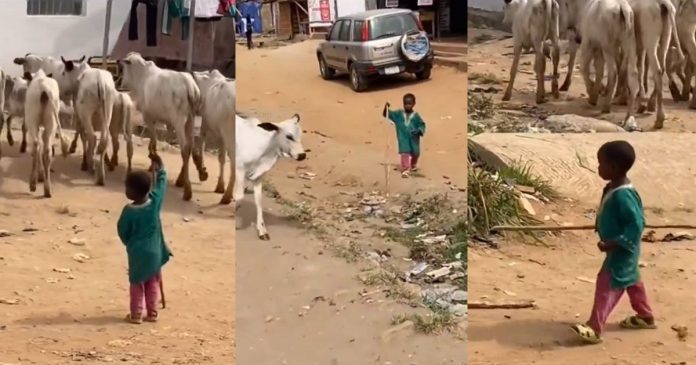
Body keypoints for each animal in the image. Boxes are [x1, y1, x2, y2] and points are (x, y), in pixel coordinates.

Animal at [24, 69, 69, 198]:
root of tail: (44, 87)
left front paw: (39, 175)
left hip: (32, 120)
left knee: (36, 144)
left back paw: (33, 183)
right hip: (52, 122)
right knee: (47, 150)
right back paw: (47, 189)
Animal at [118, 51, 207, 200]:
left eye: (124, 67)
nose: (122, 83)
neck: (142, 75)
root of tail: (190, 87)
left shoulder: (149, 117)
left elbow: (153, 143)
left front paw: (153, 162)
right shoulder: (163, 121)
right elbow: (155, 142)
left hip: (179, 120)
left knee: (185, 148)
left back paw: (187, 189)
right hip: (190, 118)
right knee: (191, 146)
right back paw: (188, 177)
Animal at [193, 69, 237, 205]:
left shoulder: (207, 124)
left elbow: (201, 142)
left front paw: (202, 171)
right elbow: (222, 158)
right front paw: (220, 186)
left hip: (230, 133)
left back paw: (227, 196)